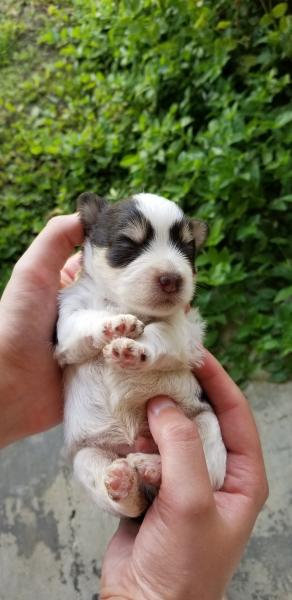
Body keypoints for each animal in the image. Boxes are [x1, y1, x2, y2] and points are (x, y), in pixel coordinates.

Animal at [56, 192, 227, 516]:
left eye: (187, 249)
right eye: (128, 244)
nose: (172, 278)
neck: (127, 304)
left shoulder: (178, 330)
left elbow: (158, 335)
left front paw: (133, 348)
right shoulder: (66, 326)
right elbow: (86, 320)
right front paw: (116, 324)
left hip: (206, 425)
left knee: (199, 471)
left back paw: (151, 466)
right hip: (87, 456)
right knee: (129, 504)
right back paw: (124, 481)